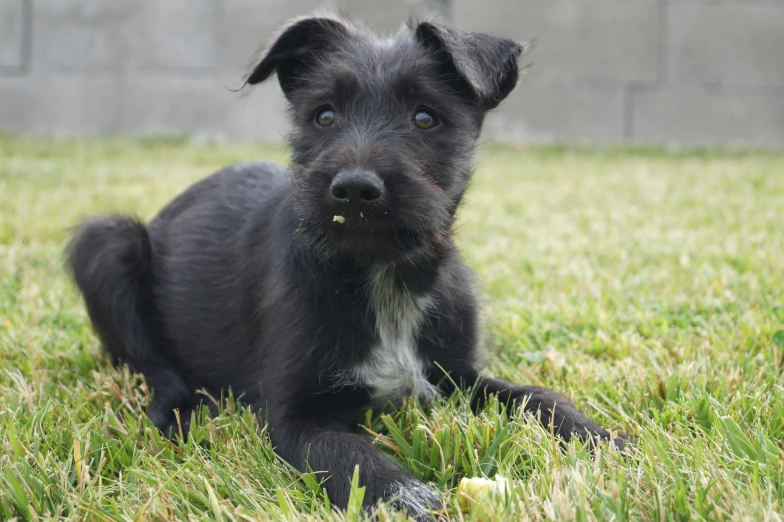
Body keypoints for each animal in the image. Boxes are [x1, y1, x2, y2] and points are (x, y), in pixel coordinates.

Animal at [67, 14, 632, 516]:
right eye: (324, 116)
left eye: (425, 117)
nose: (355, 189)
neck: (382, 274)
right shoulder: (293, 417)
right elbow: (350, 454)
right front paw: (402, 495)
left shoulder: (459, 377)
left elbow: (537, 396)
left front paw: (602, 440)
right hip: (107, 243)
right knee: (149, 362)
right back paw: (181, 409)